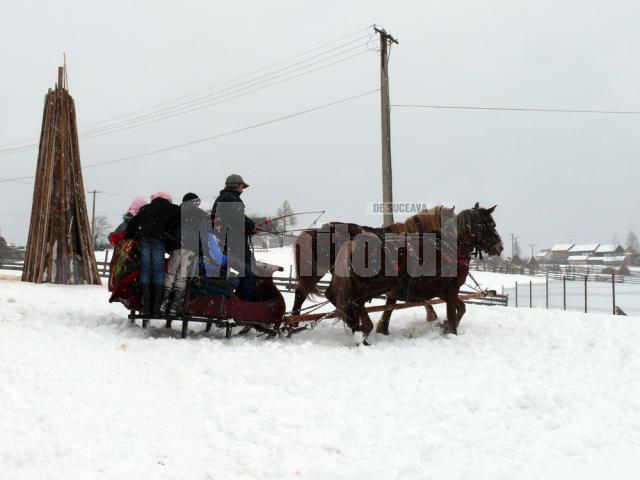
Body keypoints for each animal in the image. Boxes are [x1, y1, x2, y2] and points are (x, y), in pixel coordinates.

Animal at [328, 204, 502, 344]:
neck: (453, 245)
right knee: (351, 304)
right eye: (490, 224)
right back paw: (361, 333)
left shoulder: (439, 290)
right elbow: (452, 313)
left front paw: (443, 326)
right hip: (369, 287)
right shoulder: (450, 289)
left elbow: (461, 307)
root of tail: (352, 243)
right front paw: (450, 331)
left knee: (339, 299)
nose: (499, 246)